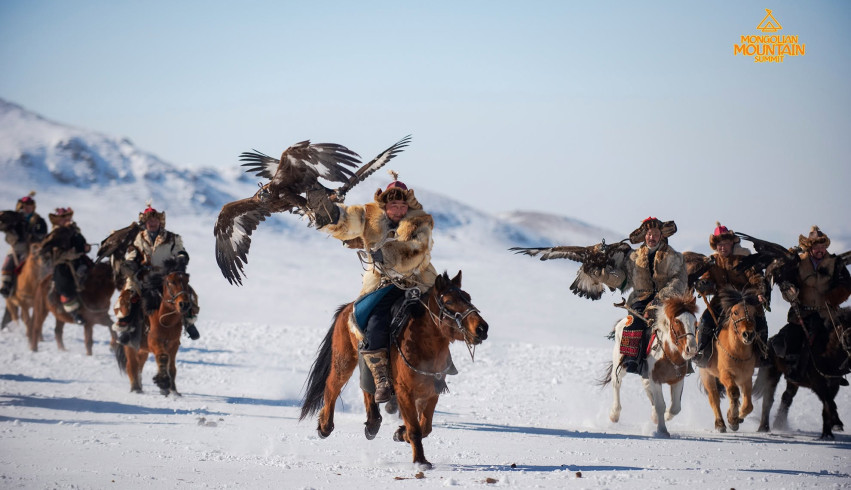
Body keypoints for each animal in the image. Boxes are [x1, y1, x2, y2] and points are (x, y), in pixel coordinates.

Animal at [114, 262, 191, 395]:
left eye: (187, 281)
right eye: (171, 282)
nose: (184, 304)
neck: (165, 321)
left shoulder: (174, 344)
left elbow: (172, 367)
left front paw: (173, 390)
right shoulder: (154, 342)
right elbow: (163, 357)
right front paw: (163, 382)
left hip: (142, 350)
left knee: (139, 365)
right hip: (130, 346)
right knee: (132, 365)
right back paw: (136, 388)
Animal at [300, 271, 489, 469]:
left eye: (468, 298)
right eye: (449, 301)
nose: (482, 328)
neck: (423, 345)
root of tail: (347, 308)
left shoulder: (431, 391)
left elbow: (425, 426)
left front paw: (400, 434)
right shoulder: (404, 392)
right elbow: (415, 429)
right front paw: (420, 461)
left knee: (367, 386)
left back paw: (372, 423)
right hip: (343, 360)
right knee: (332, 386)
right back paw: (325, 426)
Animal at [600, 294, 699, 437]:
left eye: (695, 323)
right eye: (677, 321)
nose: (691, 349)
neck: (667, 355)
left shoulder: (677, 380)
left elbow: (675, 407)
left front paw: (663, 418)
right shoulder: (655, 379)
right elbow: (660, 405)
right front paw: (662, 430)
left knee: (646, 386)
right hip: (620, 364)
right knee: (616, 383)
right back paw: (614, 414)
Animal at [698, 288, 762, 432]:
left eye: (754, 312)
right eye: (735, 312)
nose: (748, 334)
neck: (737, 353)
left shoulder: (746, 377)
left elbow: (748, 405)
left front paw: (737, 417)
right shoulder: (725, 374)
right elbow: (733, 392)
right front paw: (732, 419)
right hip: (706, 374)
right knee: (714, 397)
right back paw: (720, 424)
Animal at [754, 307, 850, 440]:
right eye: (847, 332)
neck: (827, 353)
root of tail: (769, 342)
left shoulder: (834, 384)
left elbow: (827, 405)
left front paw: (827, 434)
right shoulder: (818, 384)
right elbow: (829, 403)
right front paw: (837, 423)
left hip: (793, 381)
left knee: (787, 397)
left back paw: (778, 424)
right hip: (772, 373)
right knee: (768, 398)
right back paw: (764, 428)